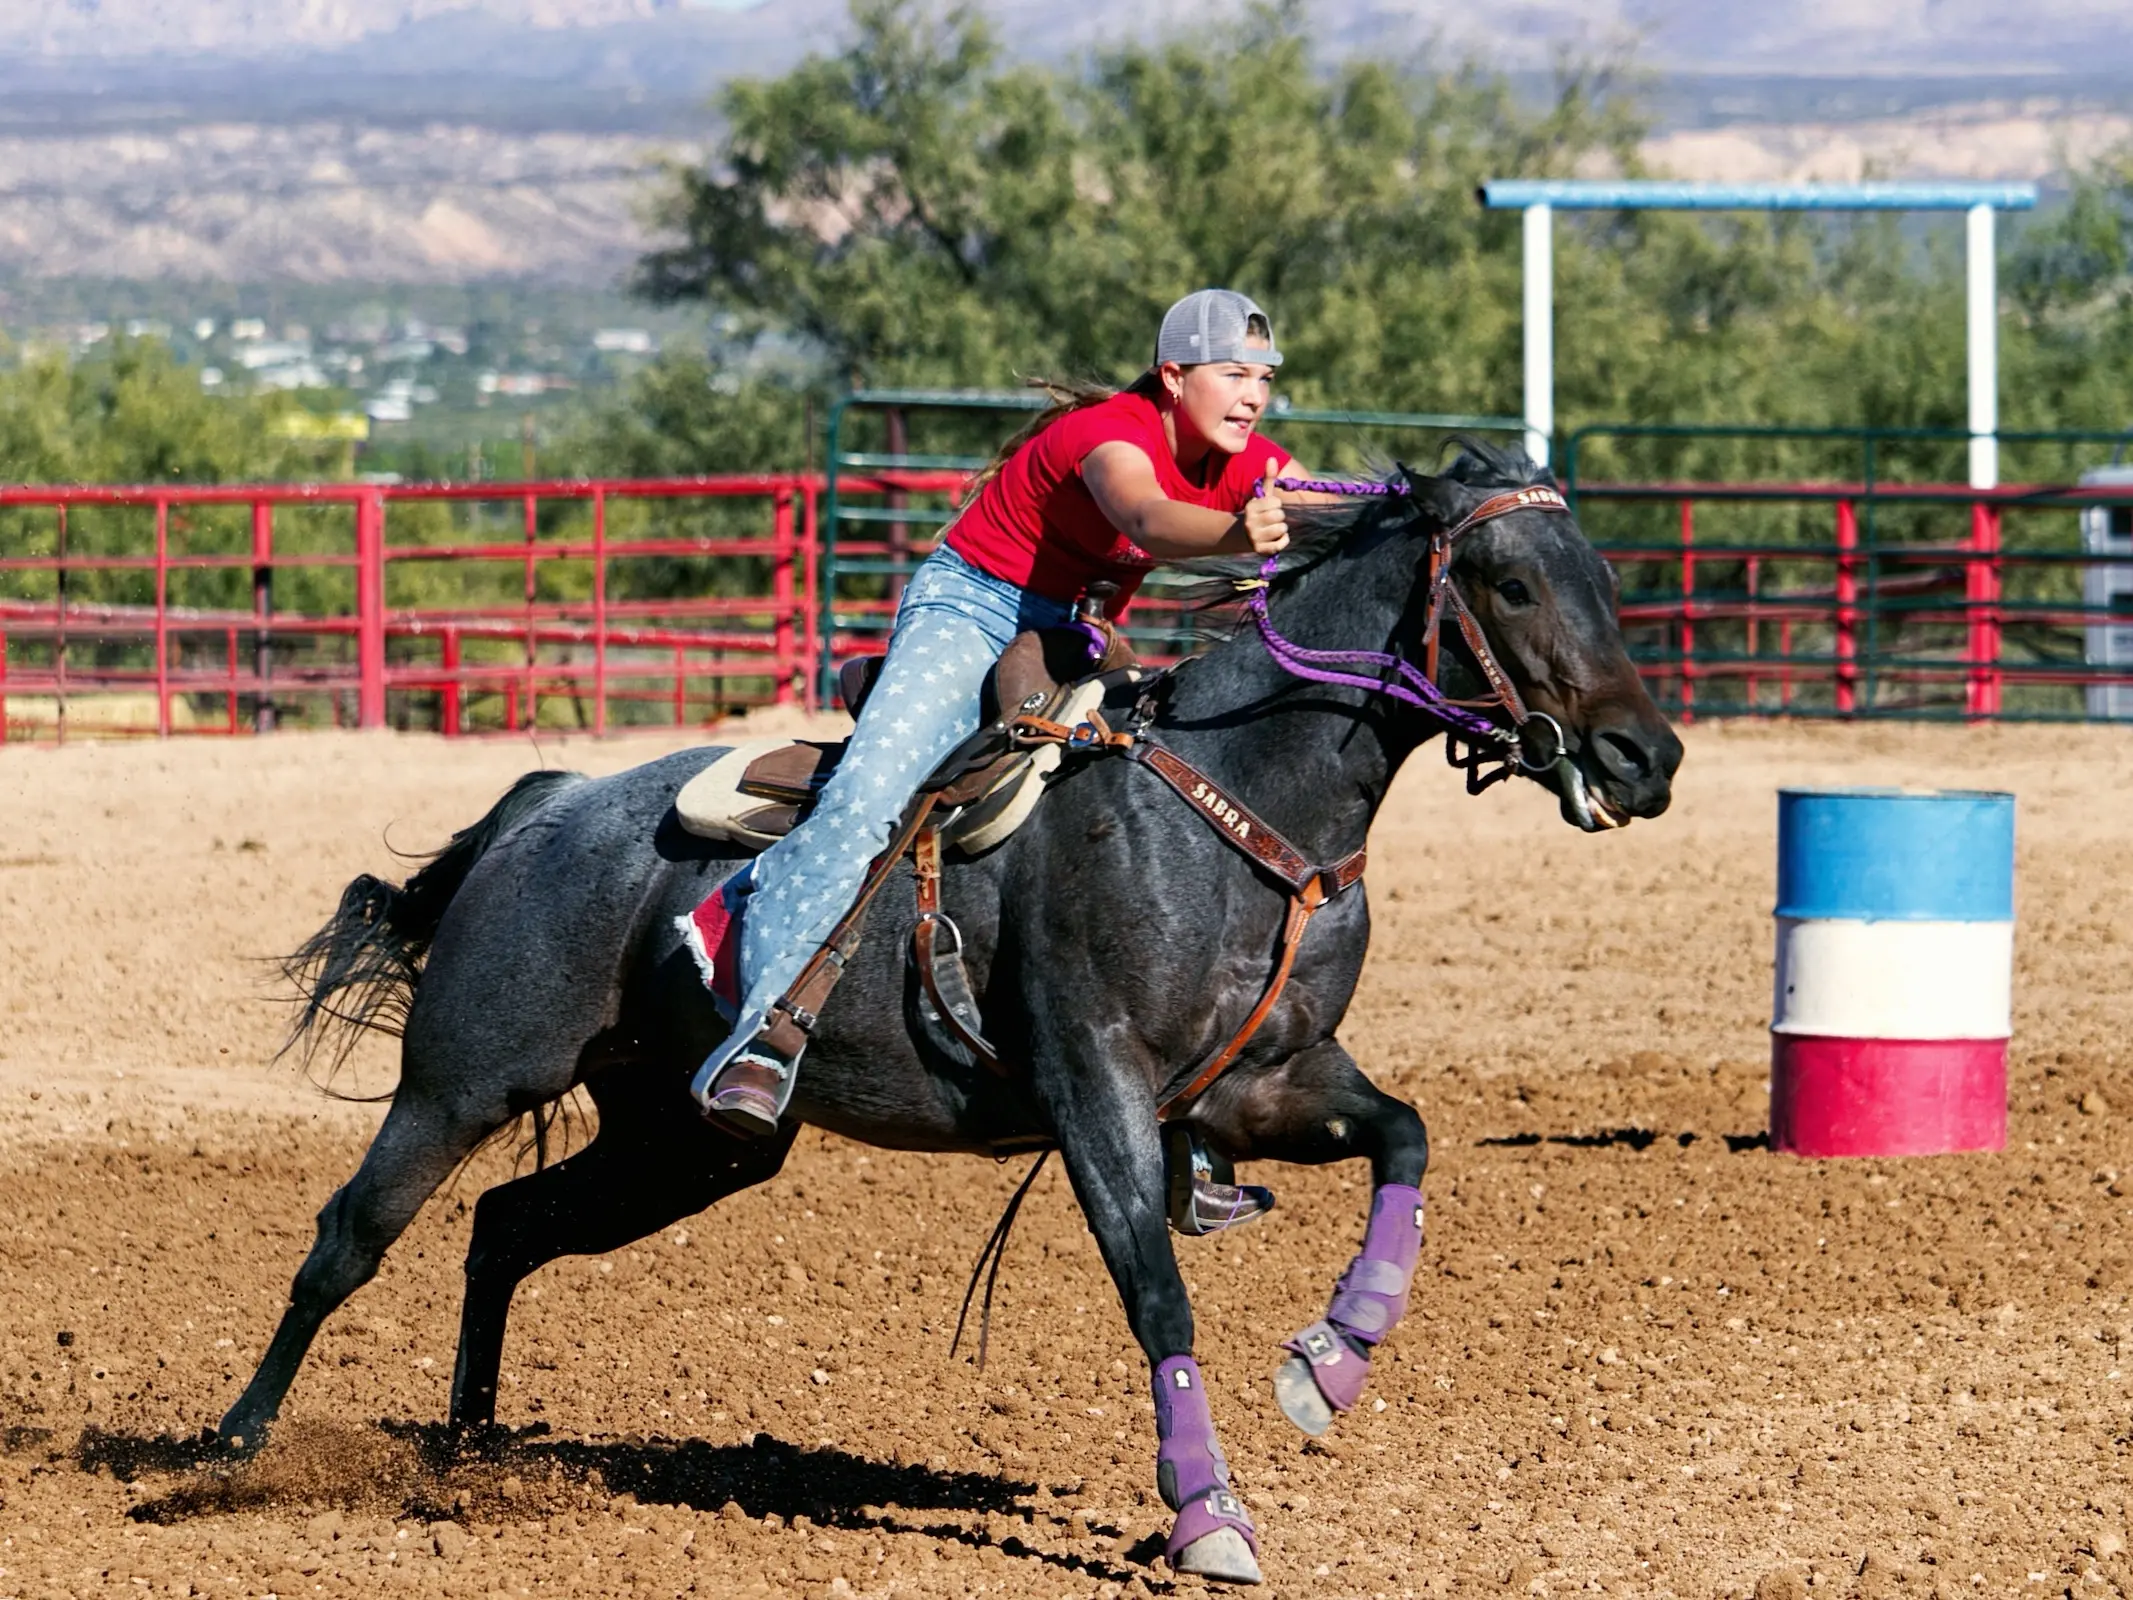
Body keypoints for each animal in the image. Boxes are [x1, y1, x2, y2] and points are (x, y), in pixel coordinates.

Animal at [220, 445, 1680, 1587]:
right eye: (1511, 581)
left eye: (1603, 575)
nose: (1645, 757)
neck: (1235, 803)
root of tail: (546, 808)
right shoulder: (1097, 1092)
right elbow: (1156, 1294)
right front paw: (1209, 1516)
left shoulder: (1265, 1082)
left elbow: (1407, 1138)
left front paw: (1332, 1359)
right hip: (462, 1081)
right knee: (347, 1241)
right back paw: (232, 1452)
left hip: (684, 1142)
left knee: (505, 1227)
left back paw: (468, 1459)